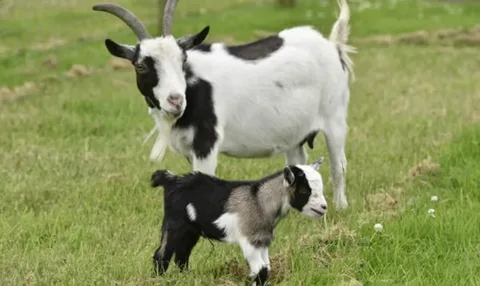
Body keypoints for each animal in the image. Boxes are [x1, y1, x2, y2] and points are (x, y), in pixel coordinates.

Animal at [92, 0, 354, 211]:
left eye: (183, 59)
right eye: (140, 65)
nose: (176, 100)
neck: (192, 86)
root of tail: (333, 46)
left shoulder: (206, 142)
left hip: (335, 117)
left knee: (339, 165)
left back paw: (341, 206)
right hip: (294, 133)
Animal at [151, 158, 326, 284]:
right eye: (304, 190)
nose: (323, 207)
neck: (259, 201)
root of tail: (172, 179)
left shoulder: (262, 240)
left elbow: (266, 268)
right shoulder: (250, 240)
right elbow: (260, 270)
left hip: (191, 230)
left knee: (182, 254)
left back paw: (186, 277)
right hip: (175, 224)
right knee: (162, 254)